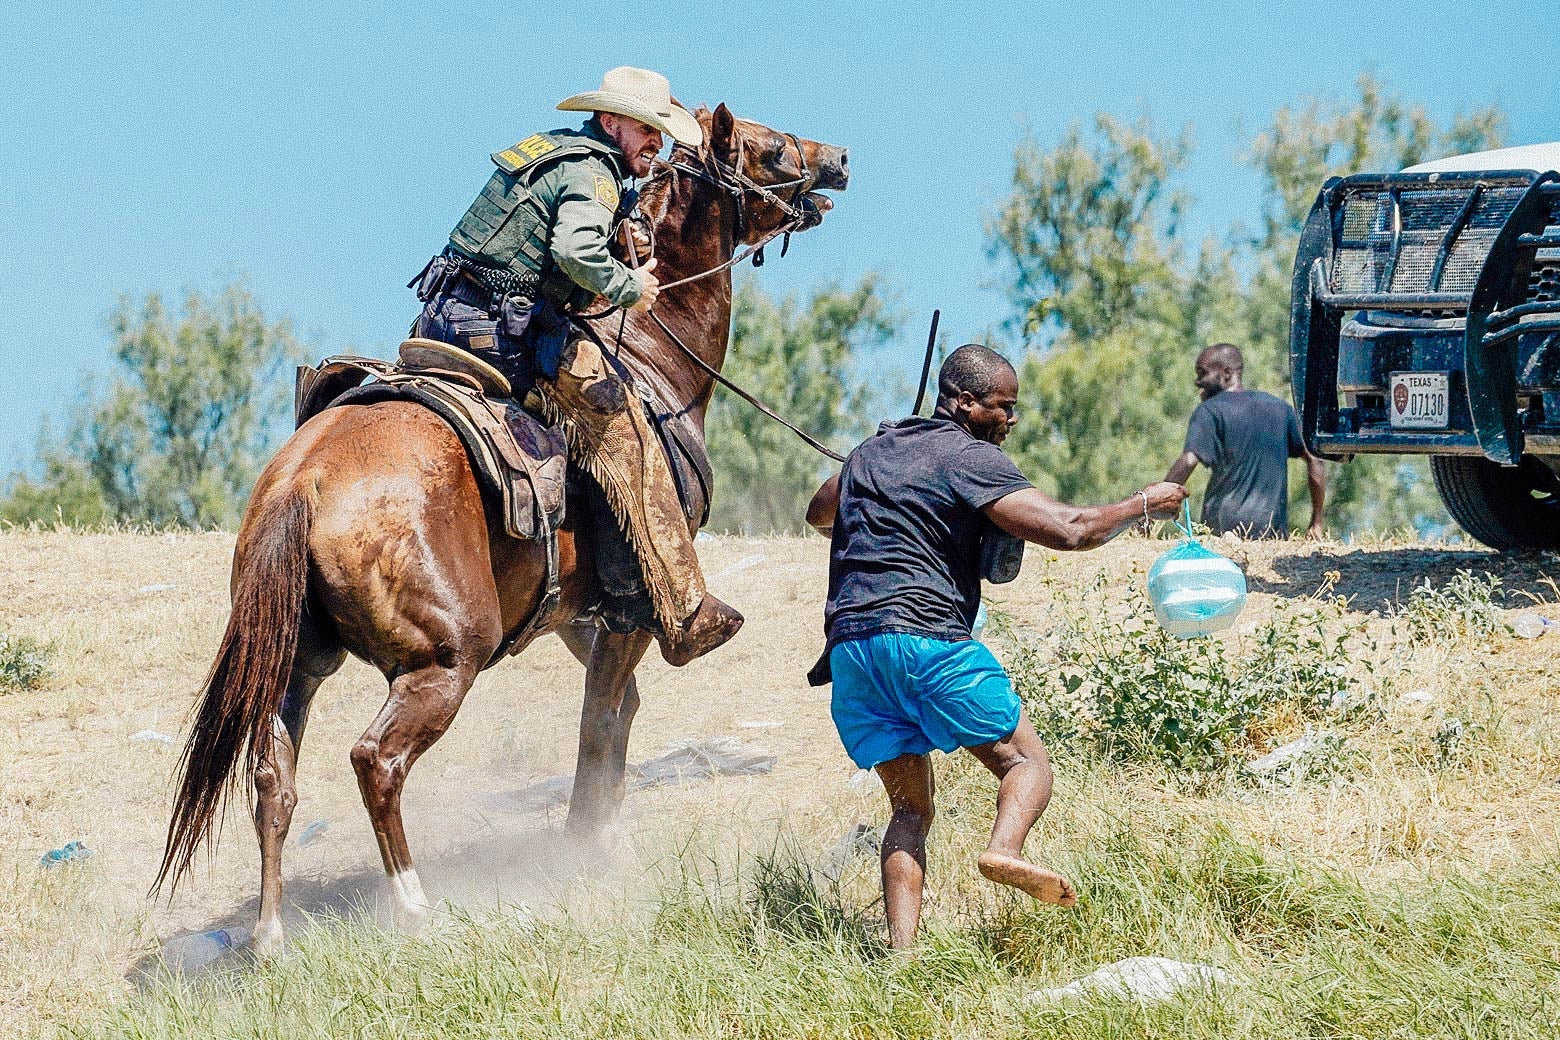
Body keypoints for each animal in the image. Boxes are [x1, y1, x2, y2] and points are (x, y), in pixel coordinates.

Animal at [158, 101, 854, 954]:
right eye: (772, 147)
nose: (838, 159)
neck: (652, 355)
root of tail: (304, 482)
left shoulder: (579, 617)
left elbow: (619, 712)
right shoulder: (628, 612)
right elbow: (599, 722)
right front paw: (589, 847)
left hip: (298, 662)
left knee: (272, 776)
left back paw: (269, 935)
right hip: (445, 659)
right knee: (376, 761)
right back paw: (413, 905)